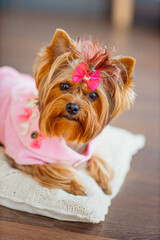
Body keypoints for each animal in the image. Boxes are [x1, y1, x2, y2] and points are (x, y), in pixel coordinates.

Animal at [0, 29, 135, 195]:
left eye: (93, 95)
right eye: (64, 86)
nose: (72, 107)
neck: (67, 131)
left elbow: (97, 159)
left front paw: (105, 181)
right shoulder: (23, 157)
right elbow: (52, 169)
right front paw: (75, 185)